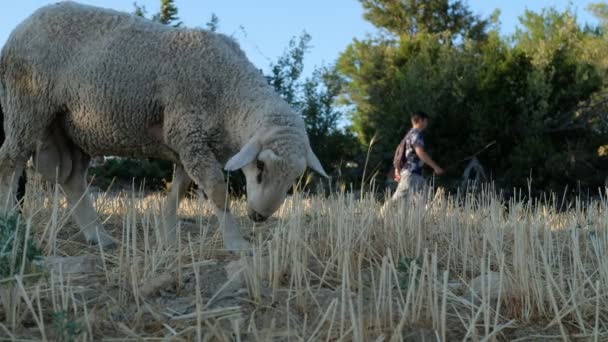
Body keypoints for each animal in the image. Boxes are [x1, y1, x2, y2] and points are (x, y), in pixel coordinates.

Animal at [0, 1, 328, 250]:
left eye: (294, 177)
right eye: (260, 166)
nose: (259, 217)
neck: (229, 89)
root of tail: (23, 24)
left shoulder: (189, 143)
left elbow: (178, 191)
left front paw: (169, 238)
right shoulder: (187, 132)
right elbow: (217, 191)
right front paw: (236, 243)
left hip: (71, 128)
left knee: (71, 179)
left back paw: (99, 236)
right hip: (26, 106)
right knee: (10, 161)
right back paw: (9, 223)